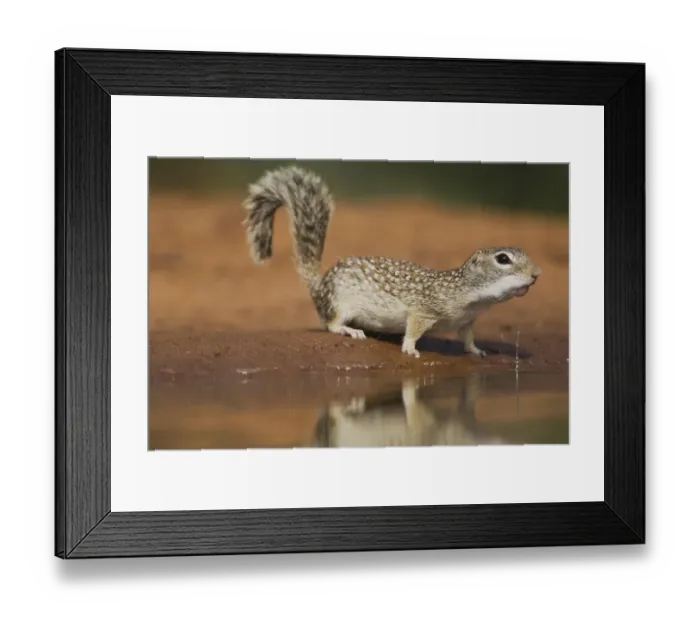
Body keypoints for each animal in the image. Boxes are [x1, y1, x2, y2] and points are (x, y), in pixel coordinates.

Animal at [242, 165, 541, 358]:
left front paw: (476, 350)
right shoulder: (423, 310)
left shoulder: (467, 322)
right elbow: (413, 329)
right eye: (503, 259)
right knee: (331, 324)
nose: (537, 274)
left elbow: (467, 339)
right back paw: (350, 330)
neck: (469, 293)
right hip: (340, 302)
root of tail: (319, 285)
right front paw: (409, 348)